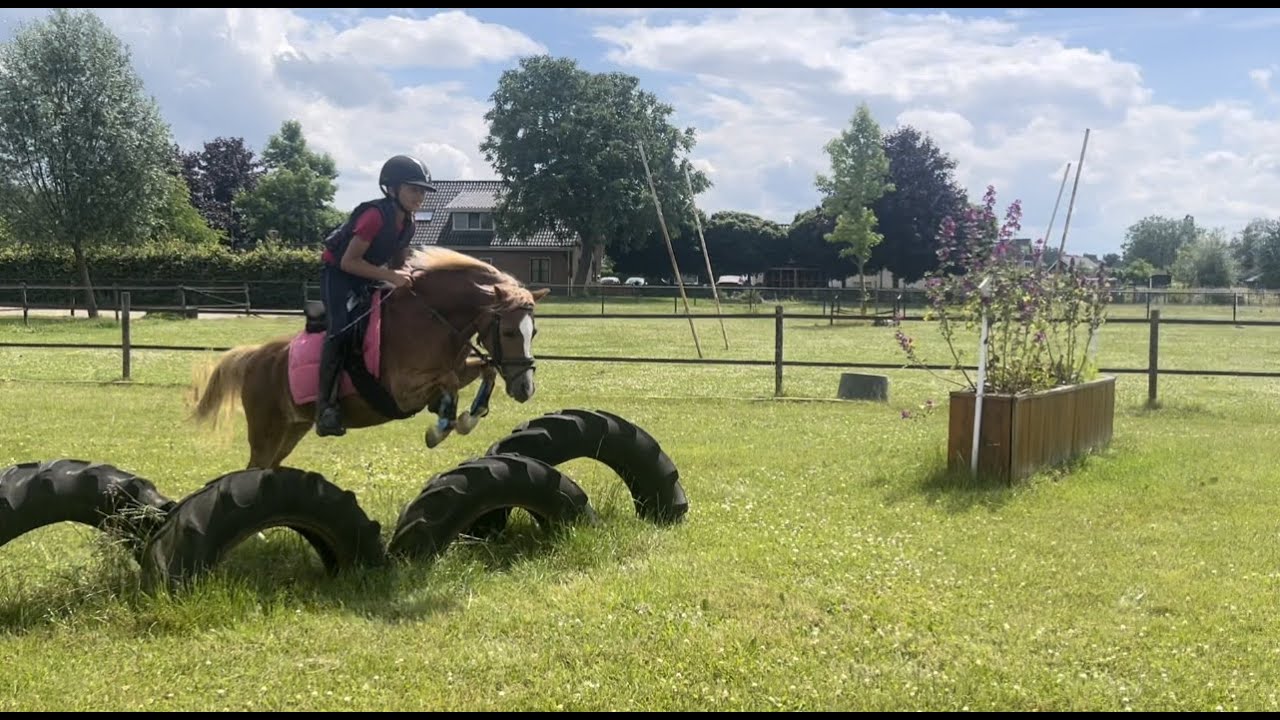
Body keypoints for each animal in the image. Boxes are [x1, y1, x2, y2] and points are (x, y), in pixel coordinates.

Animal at [188, 247, 550, 470]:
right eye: (508, 333)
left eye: (534, 332)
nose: (525, 389)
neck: (432, 318)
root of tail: (255, 356)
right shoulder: (402, 391)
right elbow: (448, 383)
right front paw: (441, 427)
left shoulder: (460, 367)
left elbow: (486, 370)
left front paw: (465, 419)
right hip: (267, 429)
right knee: (255, 466)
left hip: (293, 428)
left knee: (267, 467)